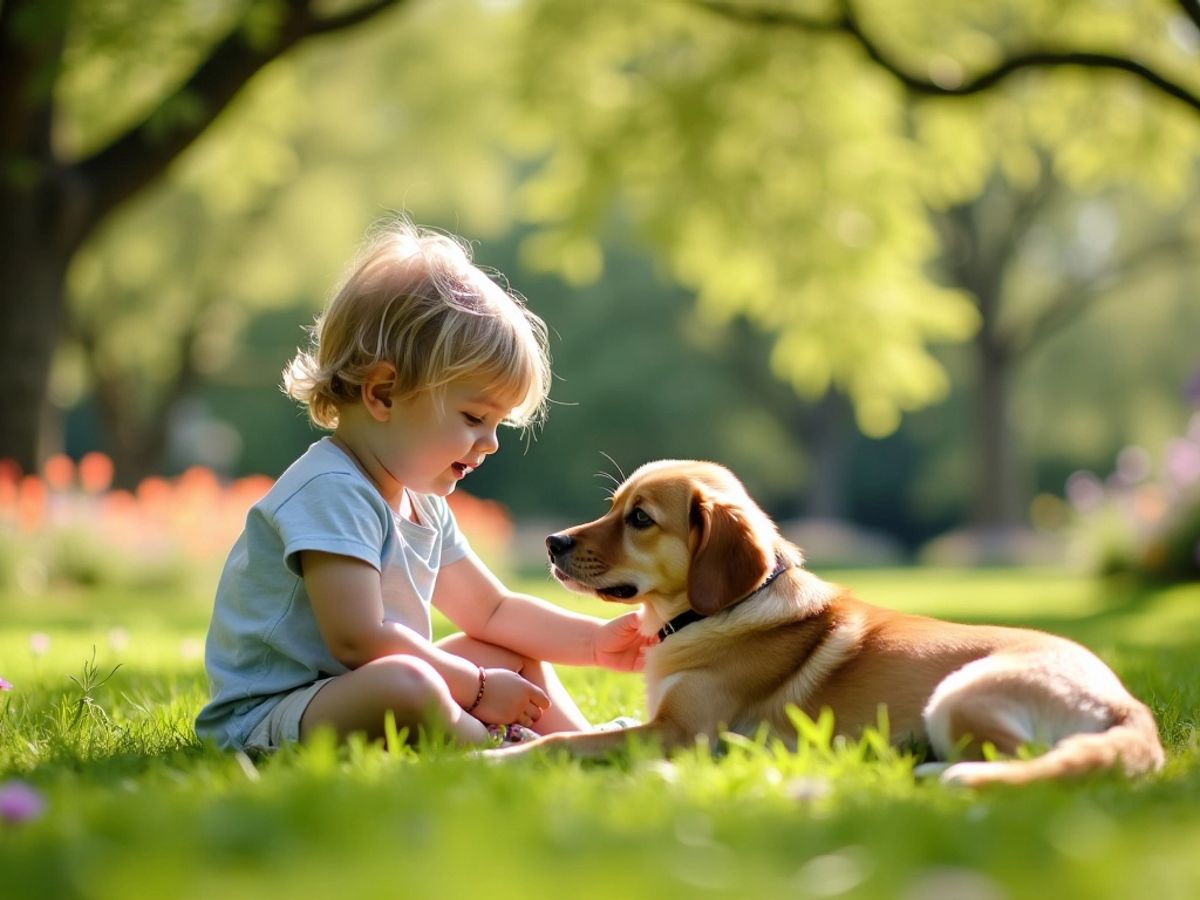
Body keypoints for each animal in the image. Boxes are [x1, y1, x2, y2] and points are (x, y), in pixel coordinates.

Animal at [487, 460, 1161, 787]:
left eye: (640, 519)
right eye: (612, 506)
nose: (551, 542)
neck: (716, 613)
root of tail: (1127, 704)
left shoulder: (680, 735)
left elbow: (568, 743)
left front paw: (497, 758)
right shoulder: (656, 721)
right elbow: (608, 724)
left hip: (960, 693)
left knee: (1029, 763)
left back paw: (936, 771)